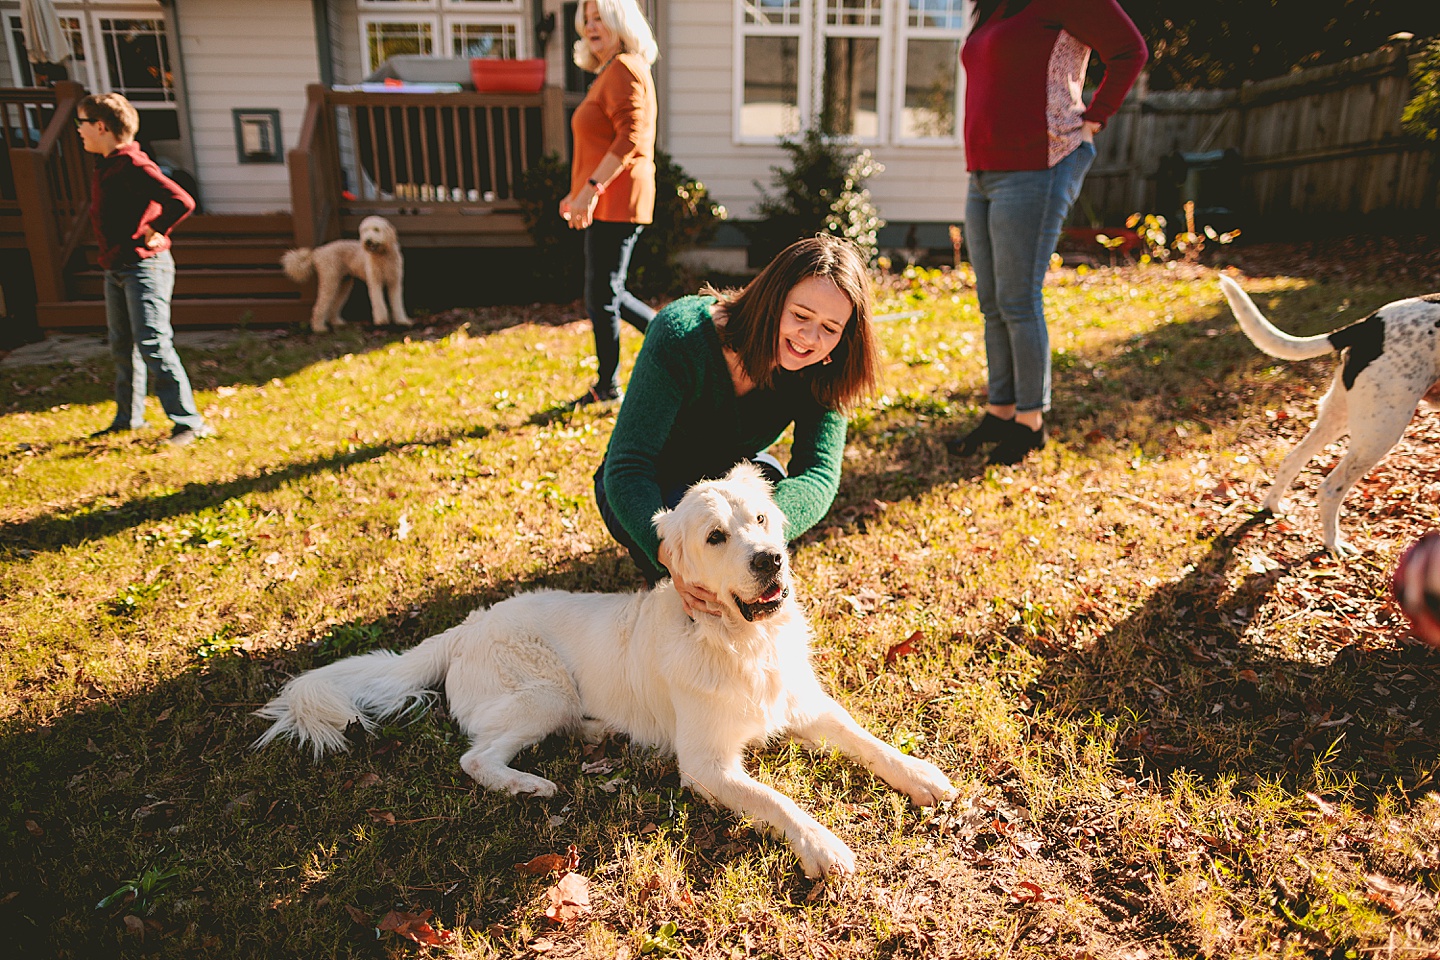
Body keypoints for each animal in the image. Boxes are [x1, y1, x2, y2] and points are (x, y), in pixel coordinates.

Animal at [1215, 272, 1440, 555]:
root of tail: (1370, 324)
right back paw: (1333, 544)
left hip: (1344, 416)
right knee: (1330, 489)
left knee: (1292, 459)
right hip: (1382, 431)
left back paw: (1273, 506)